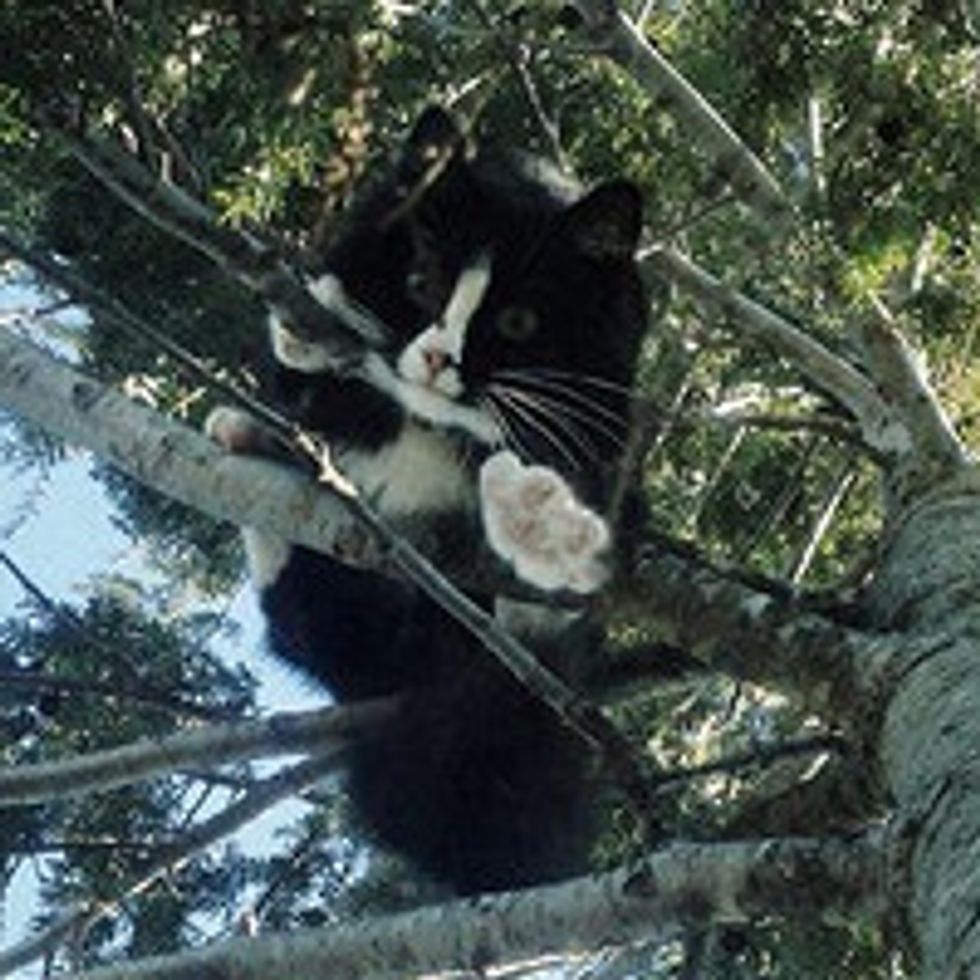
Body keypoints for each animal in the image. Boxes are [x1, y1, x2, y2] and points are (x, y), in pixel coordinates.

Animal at [209, 107, 652, 896]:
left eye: (518, 323)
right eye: (418, 280)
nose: (439, 358)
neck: (427, 424)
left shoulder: (611, 424)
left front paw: (540, 515)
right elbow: (298, 369)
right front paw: (319, 316)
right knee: (314, 625)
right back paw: (247, 439)